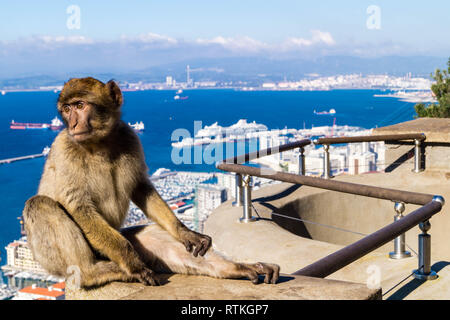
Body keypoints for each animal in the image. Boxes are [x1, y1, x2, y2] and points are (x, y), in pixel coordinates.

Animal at [22, 78, 280, 290]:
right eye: (67, 109)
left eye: (80, 105)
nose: (73, 124)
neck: (100, 143)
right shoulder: (65, 149)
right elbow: (79, 206)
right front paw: (134, 265)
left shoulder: (130, 137)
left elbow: (140, 187)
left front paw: (187, 233)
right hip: (61, 257)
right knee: (40, 204)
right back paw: (92, 273)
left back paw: (238, 268)